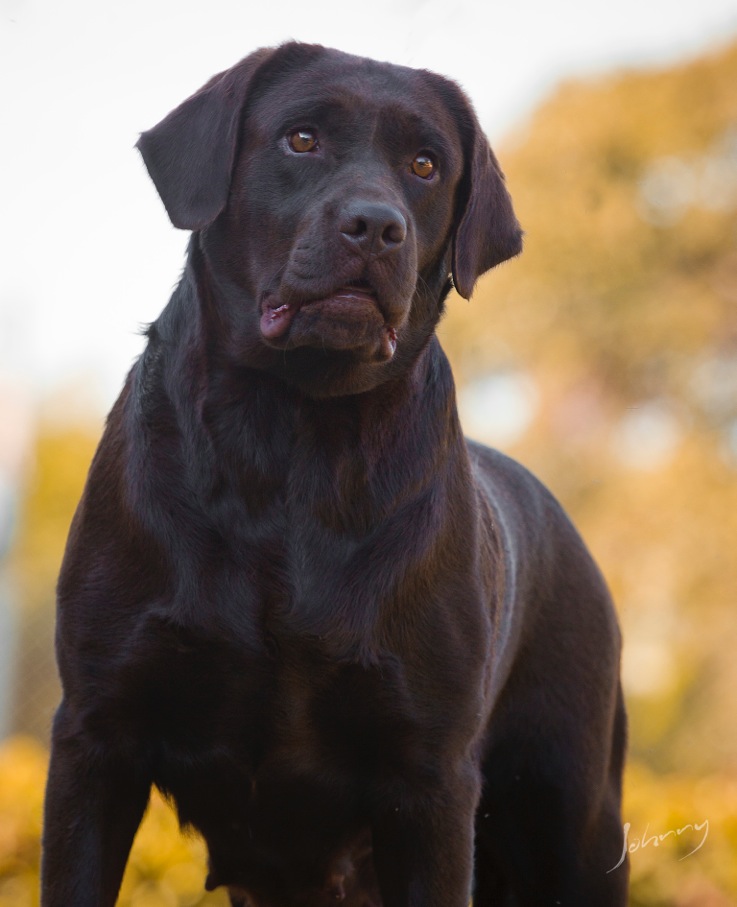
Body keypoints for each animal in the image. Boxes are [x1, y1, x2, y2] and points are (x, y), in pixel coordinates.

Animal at [40, 42, 628, 907]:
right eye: (302, 139)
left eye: (425, 164)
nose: (376, 226)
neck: (289, 442)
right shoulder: (98, 735)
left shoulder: (429, 781)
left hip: (575, 819)